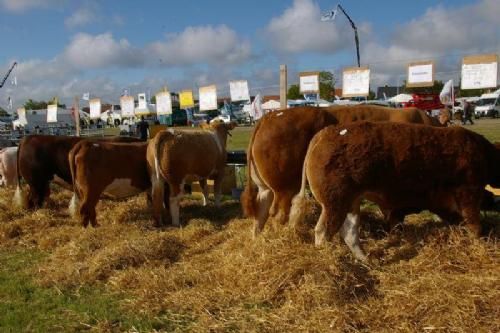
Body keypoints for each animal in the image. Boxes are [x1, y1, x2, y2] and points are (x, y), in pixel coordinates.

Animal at [290, 120, 500, 260]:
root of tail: (325, 133)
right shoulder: (469, 192)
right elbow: (475, 226)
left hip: (350, 203)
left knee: (350, 234)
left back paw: (366, 261)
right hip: (334, 204)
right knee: (323, 232)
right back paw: (325, 257)